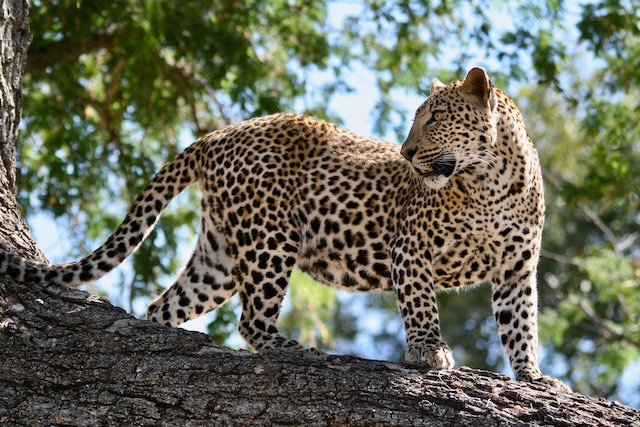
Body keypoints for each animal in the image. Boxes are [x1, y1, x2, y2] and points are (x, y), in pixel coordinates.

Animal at [0, 67, 569, 390]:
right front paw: (430, 352)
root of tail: (218, 134)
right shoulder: (409, 247)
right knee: (252, 320)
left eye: (433, 118)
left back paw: (167, 339)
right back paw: (297, 350)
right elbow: (421, 305)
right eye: (417, 118)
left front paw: (534, 378)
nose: (407, 152)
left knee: (165, 306)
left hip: (219, 256)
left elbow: (521, 326)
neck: (493, 181)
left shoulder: (516, 272)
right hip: (271, 239)